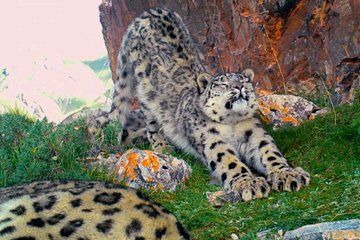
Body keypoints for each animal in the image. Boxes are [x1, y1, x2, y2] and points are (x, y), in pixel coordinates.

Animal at [97, 7, 310, 202]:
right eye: (223, 84)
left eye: (244, 80)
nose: (239, 86)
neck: (232, 123)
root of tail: (148, 12)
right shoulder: (210, 138)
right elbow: (228, 160)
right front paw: (249, 183)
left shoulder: (254, 133)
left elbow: (269, 152)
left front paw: (288, 174)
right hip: (145, 93)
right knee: (151, 123)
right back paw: (162, 148)